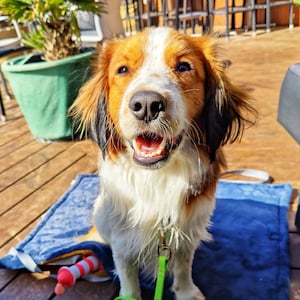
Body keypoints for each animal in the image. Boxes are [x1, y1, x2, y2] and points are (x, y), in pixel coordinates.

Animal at [71, 27, 255, 298]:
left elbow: (183, 265)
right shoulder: (122, 240)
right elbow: (128, 276)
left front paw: (186, 291)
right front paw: (129, 295)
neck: (157, 177)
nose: (147, 104)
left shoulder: (185, 233)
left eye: (184, 67)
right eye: (122, 70)